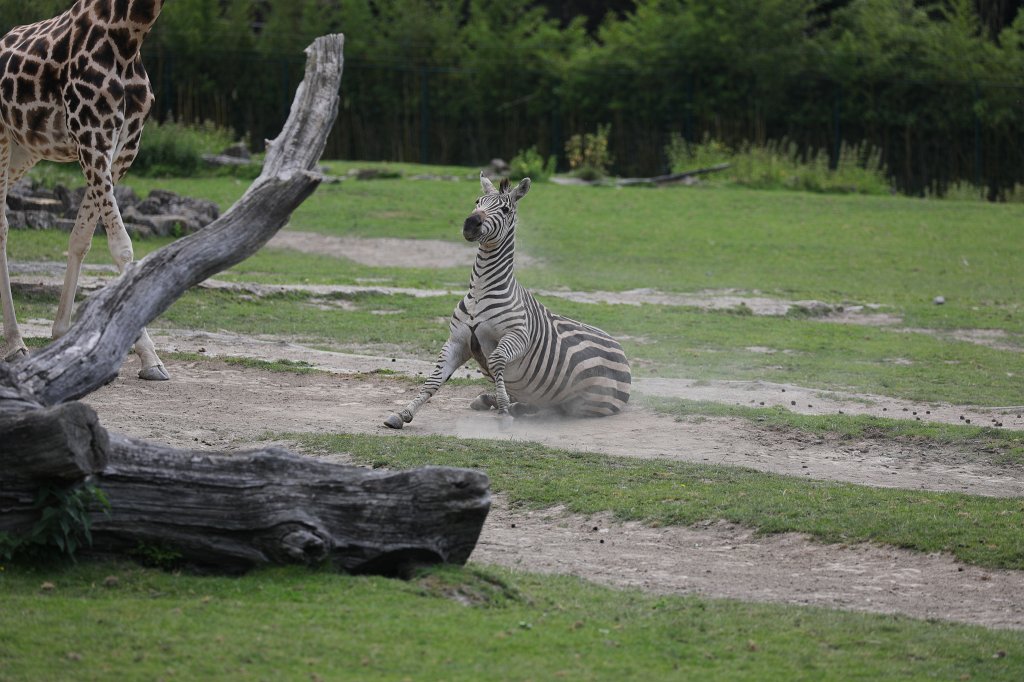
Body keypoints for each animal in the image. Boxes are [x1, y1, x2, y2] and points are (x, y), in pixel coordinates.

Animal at [383, 172, 631, 429]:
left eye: (504, 209)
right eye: (477, 201)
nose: (470, 223)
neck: (480, 291)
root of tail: (621, 349)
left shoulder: (518, 336)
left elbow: (496, 360)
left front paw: (503, 412)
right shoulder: (457, 340)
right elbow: (433, 380)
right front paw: (403, 413)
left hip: (587, 401)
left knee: (557, 408)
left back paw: (515, 407)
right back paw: (489, 400)